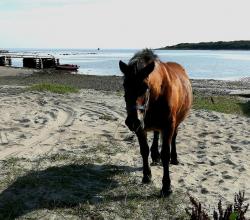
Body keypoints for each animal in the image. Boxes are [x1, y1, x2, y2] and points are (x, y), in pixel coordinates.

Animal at [120, 49, 192, 197]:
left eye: (145, 86)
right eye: (125, 85)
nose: (132, 121)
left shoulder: (168, 126)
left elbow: (165, 153)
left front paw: (166, 187)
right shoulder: (140, 128)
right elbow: (144, 150)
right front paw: (146, 175)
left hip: (176, 123)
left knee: (173, 138)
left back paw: (174, 158)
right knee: (156, 134)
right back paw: (155, 156)